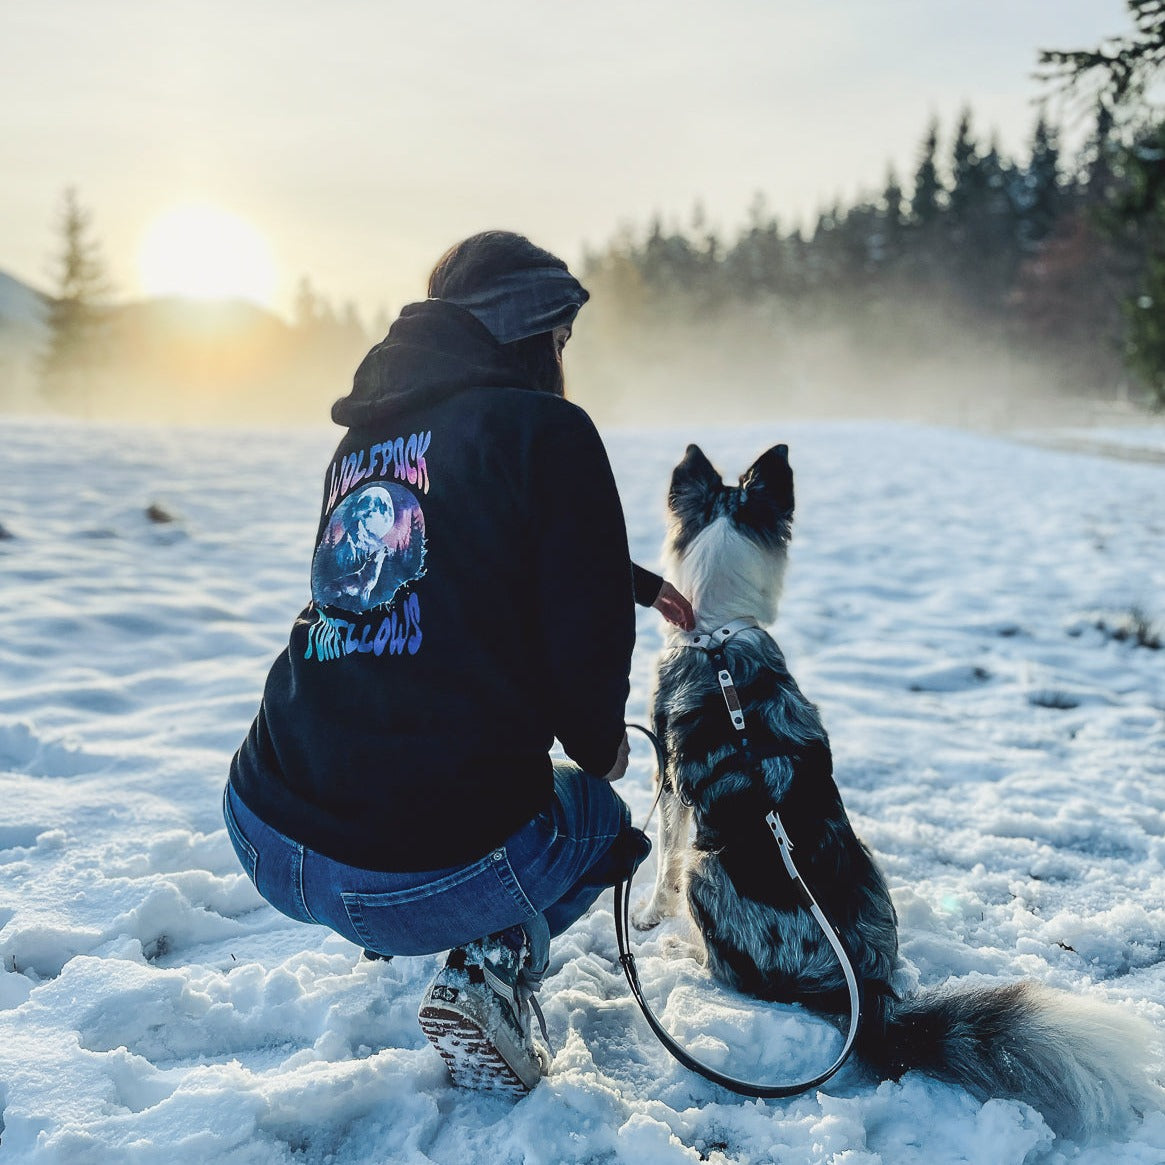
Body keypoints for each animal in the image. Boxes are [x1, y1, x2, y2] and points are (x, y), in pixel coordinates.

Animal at [638, 440, 1155, 1132]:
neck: (718, 632)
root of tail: (867, 988)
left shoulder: (668, 782)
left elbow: (661, 863)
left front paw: (648, 919)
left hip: (709, 870)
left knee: (722, 951)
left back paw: (689, 955)